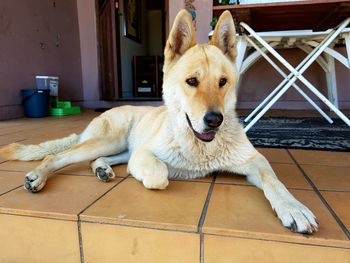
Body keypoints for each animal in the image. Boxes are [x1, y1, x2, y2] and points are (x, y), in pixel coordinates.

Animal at [0, 9, 318, 235]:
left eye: (222, 82)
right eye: (192, 81)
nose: (214, 120)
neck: (199, 146)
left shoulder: (255, 161)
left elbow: (274, 181)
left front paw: (294, 207)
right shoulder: (145, 155)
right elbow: (159, 174)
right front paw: (166, 173)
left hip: (119, 148)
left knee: (98, 160)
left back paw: (102, 169)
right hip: (109, 141)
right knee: (58, 156)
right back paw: (38, 176)